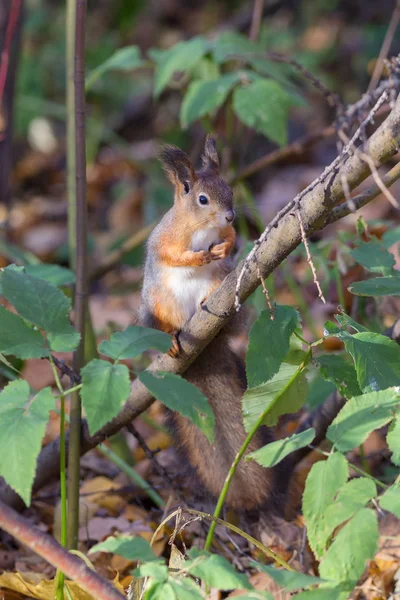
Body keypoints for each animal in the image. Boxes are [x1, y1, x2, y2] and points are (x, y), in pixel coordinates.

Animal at [141, 136, 290, 516]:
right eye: (202, 199)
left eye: (229, 190)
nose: (230, 215)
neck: (201, 228)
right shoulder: (163, 239)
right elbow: (172, 254)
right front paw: (197, 256)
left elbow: (231, 238)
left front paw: (224, 246)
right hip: (157, 302)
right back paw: (171, 338)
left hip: (225, 290)